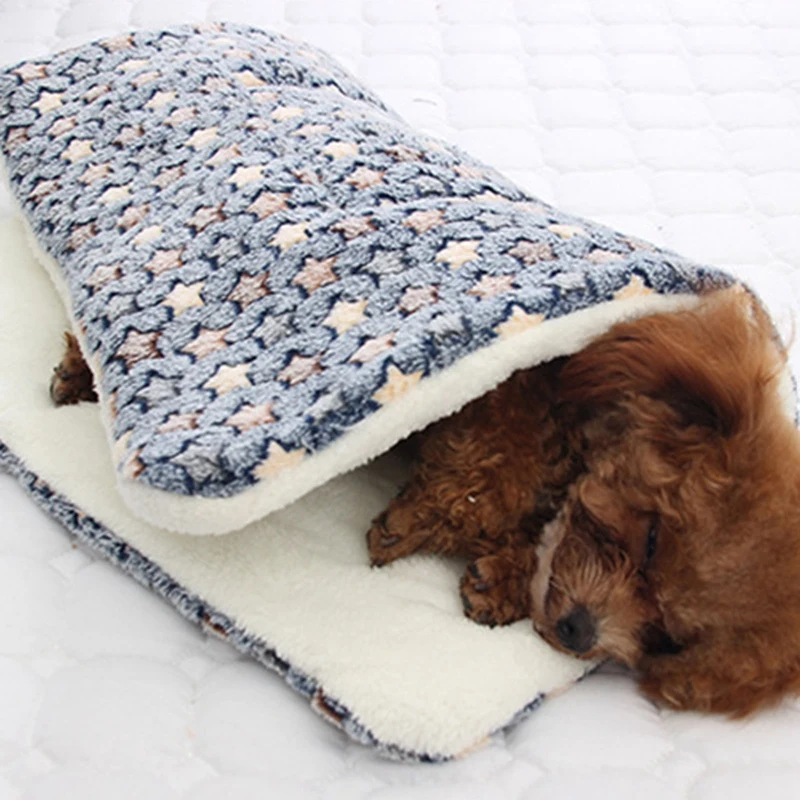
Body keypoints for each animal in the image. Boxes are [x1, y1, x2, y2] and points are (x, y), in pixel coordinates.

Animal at [367, 288, 800, 716]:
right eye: (652, 540)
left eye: (668, 638)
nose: (578, 633)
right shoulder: (519, 391)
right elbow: (507, 454)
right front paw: (423, 519)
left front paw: (503, 584)